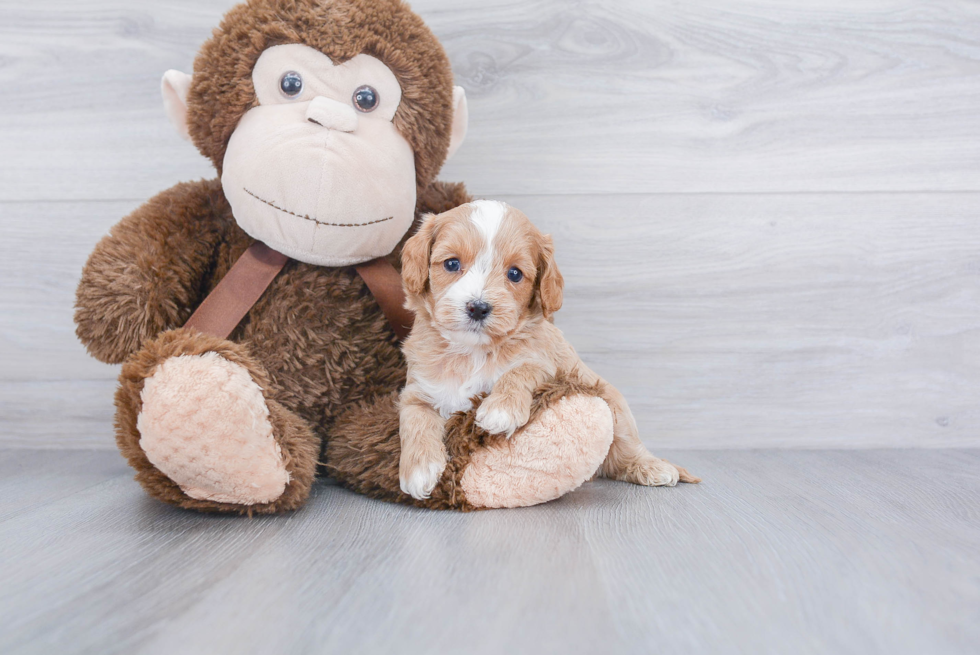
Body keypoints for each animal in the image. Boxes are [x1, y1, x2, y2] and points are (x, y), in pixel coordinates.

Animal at [396, 202, 696, 500]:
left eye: (515, 274)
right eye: (451, 263)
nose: (478, 307)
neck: (472, 352)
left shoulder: (550, 364)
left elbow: (523, 369)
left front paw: (501, 410)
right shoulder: (417, 390)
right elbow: (413, 419)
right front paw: (418, 471)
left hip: (614, 406)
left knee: (625, 450)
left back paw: (652, 467)